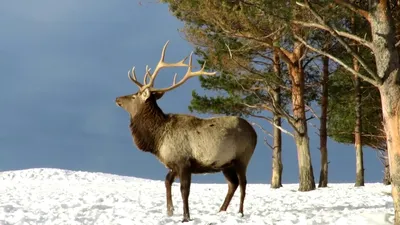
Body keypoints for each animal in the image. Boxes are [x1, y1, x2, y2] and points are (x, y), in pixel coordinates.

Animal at [114, 40, 258, 223]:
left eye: (134, 96)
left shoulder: (184, 161)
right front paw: (170, 211)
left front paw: (186, 217)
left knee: (243, 184)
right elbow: (167, 181)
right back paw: (221, 211)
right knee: (233, 183)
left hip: (242, 157)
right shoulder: (173, 163)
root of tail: (255, 133)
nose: (117, 98)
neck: (158, 139)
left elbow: (184, 190)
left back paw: (240, 212)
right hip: (226, 164)